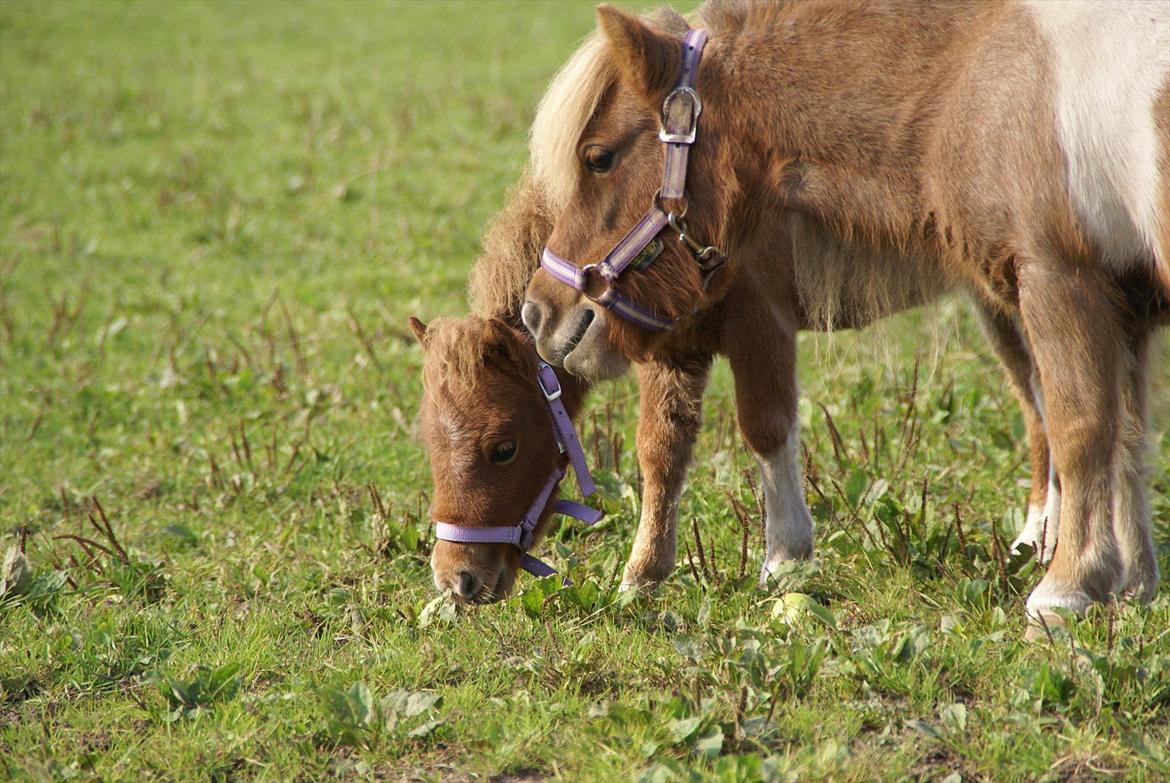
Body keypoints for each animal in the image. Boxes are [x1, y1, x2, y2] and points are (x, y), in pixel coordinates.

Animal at [524, 0, 1170, 622]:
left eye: (598, 157)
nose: (538, 313)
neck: (985, 71)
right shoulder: (1126, 303)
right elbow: (1129, 438)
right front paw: (1133, 585)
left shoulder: (1061, 277)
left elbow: (1083, 428)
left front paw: (1067, 591)